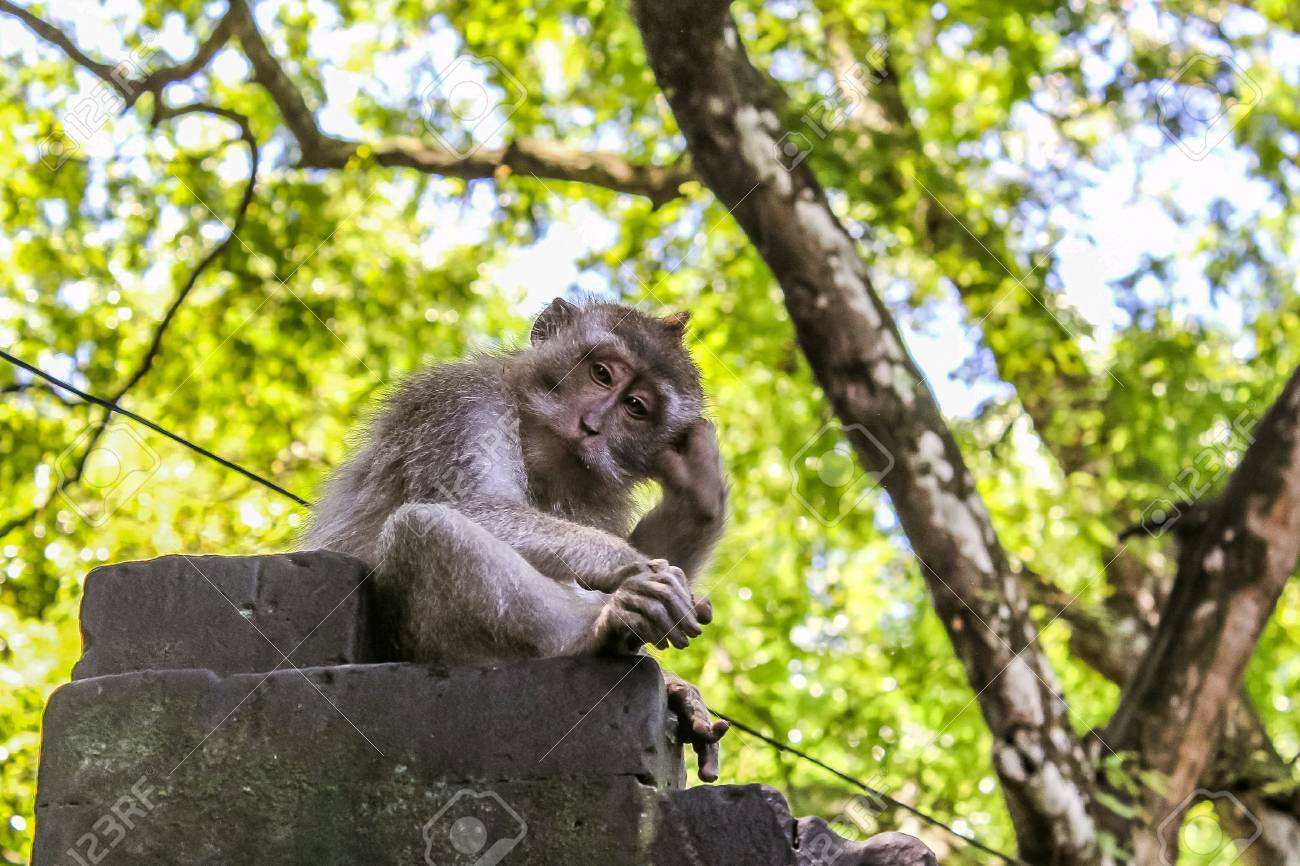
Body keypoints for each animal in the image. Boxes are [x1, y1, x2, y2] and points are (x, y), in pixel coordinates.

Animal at [304, 297, 731, 779]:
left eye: (636, 407)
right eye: (601, 374)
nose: (591, 425)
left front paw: (698, 497)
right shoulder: (462, 403)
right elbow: (471, 504)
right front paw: (631, 566)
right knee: (423, 528)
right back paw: (594, 634)